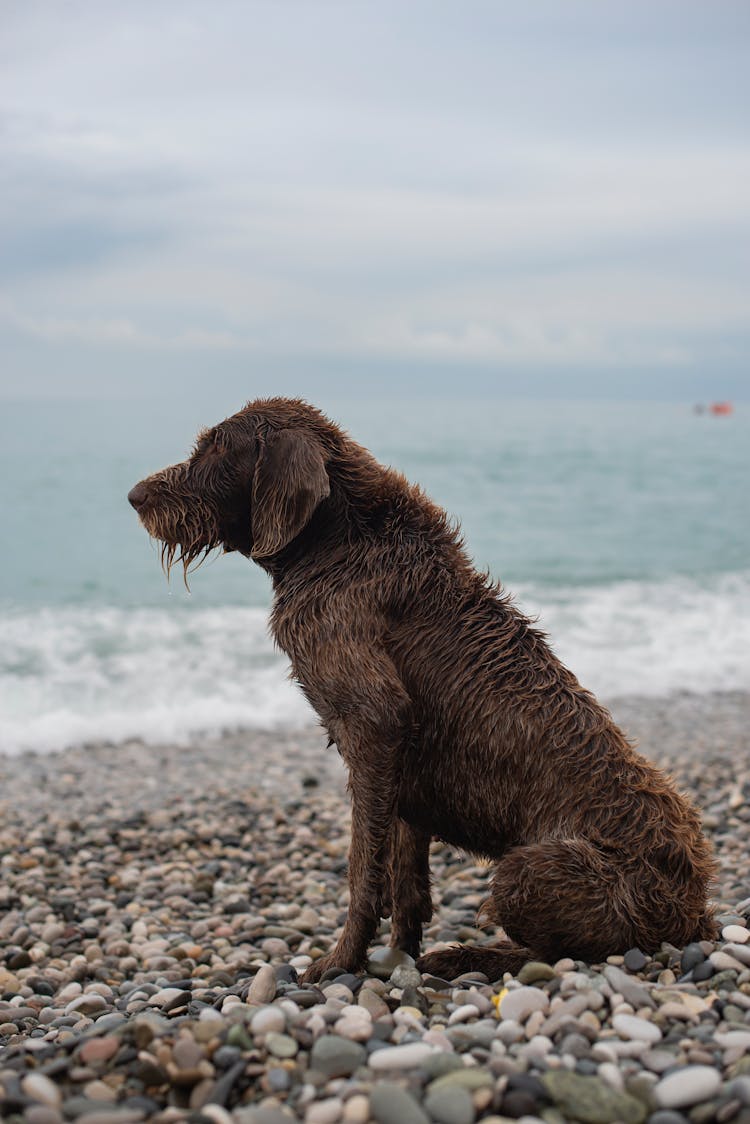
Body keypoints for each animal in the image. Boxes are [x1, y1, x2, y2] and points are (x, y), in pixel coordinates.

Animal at [129, 400, 715, 980]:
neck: (338, 542)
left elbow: (363, 870)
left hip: (528, 869)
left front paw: (342, 960)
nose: (135, 497)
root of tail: (695, 905)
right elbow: (406, 881)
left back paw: (469, 956)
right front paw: (396, 955)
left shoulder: (375, 726)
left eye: (217, 448)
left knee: (552, 954)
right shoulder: (402, 772)